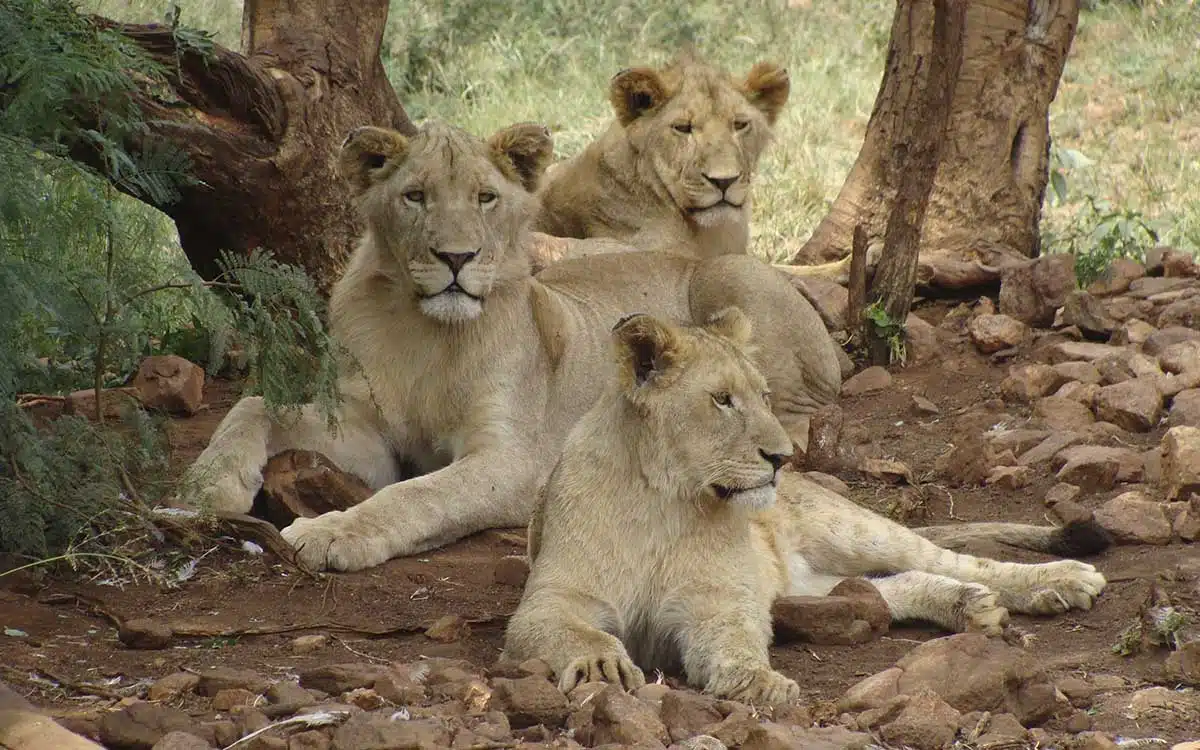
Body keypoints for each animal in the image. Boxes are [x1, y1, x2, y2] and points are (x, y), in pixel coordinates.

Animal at [182, 120, 844, 571]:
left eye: (485, 197)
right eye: (415, 196)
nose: (456, 258)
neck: (428, 334)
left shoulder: (514, 459)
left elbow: (419, 495)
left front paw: (332, 533)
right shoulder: (364, 432)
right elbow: (254, 406)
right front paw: (204, 487)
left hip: (726, 278)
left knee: (802, 417)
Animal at [501, 309, 1108, 700]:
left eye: (764, 396)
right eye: (722, 400)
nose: (782, 456)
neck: (665, 500)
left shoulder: (718, 600)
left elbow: (736, 639)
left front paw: (757, 682)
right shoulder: (551, 599)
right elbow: (580, 631)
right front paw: (601, 665)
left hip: (852, 527)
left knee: (953, 559)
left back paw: (1060, 581)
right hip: (807, 583)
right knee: (886, 588)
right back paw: (968, 605)